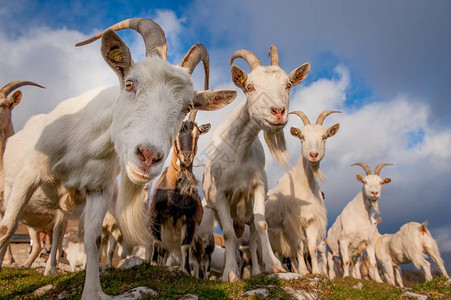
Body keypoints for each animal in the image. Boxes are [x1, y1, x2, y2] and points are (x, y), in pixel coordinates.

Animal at [150, 110, 210, 278]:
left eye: (197, 134)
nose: (187, 156)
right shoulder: (156, 216)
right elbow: (156, 242)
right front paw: (153, 264)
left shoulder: (189, 222)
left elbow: (185, 247)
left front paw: (186, 271)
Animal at [204, 45, 310, 282]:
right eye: (250, 87)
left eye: (288, 85)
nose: (278, 112)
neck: (238, 151)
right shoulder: (219, 193)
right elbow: (227, 234)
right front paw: (230, 273)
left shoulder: (257, 186)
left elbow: (262, 225)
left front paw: (273, 265)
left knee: (252, 237)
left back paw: (255, 271)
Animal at [266, 109, 340, 274]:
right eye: (302, 137)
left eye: (324, 136)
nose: (313, 155)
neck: (303, 186)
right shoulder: (292, 220)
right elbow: (299, 245)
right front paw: (304, 271)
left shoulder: (311, 220)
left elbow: (311, 247)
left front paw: (316, 272)